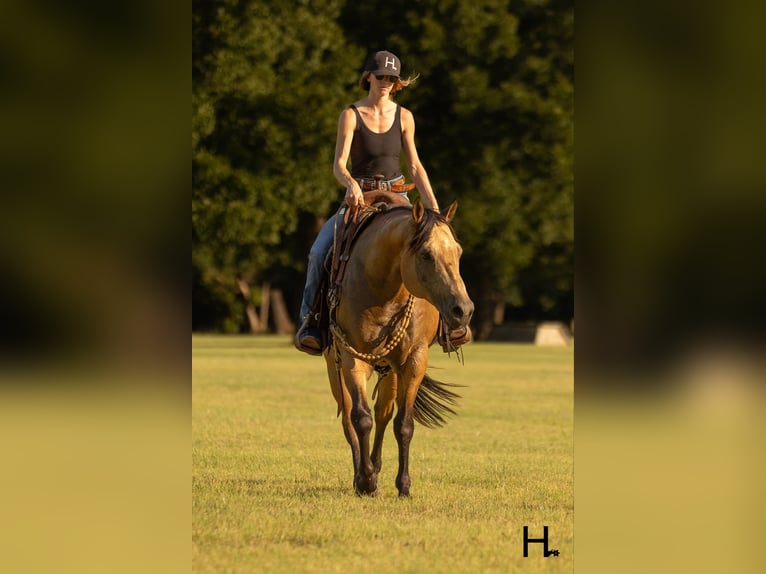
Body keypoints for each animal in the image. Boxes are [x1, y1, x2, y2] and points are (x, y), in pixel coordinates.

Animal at [324, 191, 474, 497]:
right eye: (426, 254)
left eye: (458, 252)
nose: (463, 310)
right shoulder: (351, 357)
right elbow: (360, 418)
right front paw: (366, 481)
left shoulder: (414, 360)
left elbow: (403, 423)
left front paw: (403, 485)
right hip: (335, 367)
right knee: (348, 417)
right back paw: (362, 474)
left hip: (390, 370)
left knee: (383, 413)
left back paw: (376, 465)